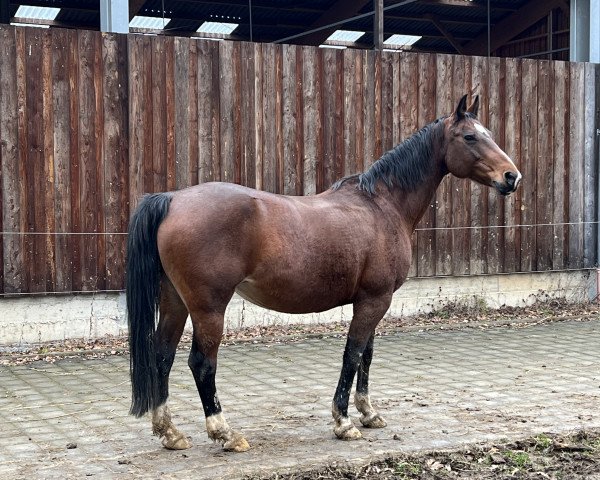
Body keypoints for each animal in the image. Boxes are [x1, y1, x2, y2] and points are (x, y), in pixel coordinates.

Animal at [125, 95, 520, 452]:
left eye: (487, 133)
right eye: (469, 137)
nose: (511, 176)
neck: (382, 205)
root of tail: (172, 199)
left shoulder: (373, 301)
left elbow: (367, 355)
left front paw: (368, 414)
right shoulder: (374, 301)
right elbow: (353, 354)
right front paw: (344, 422)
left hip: (175, 302)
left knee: (162, 355)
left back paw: (170, 433)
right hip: (209, 308)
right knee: (201, 364)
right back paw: (226, 434)